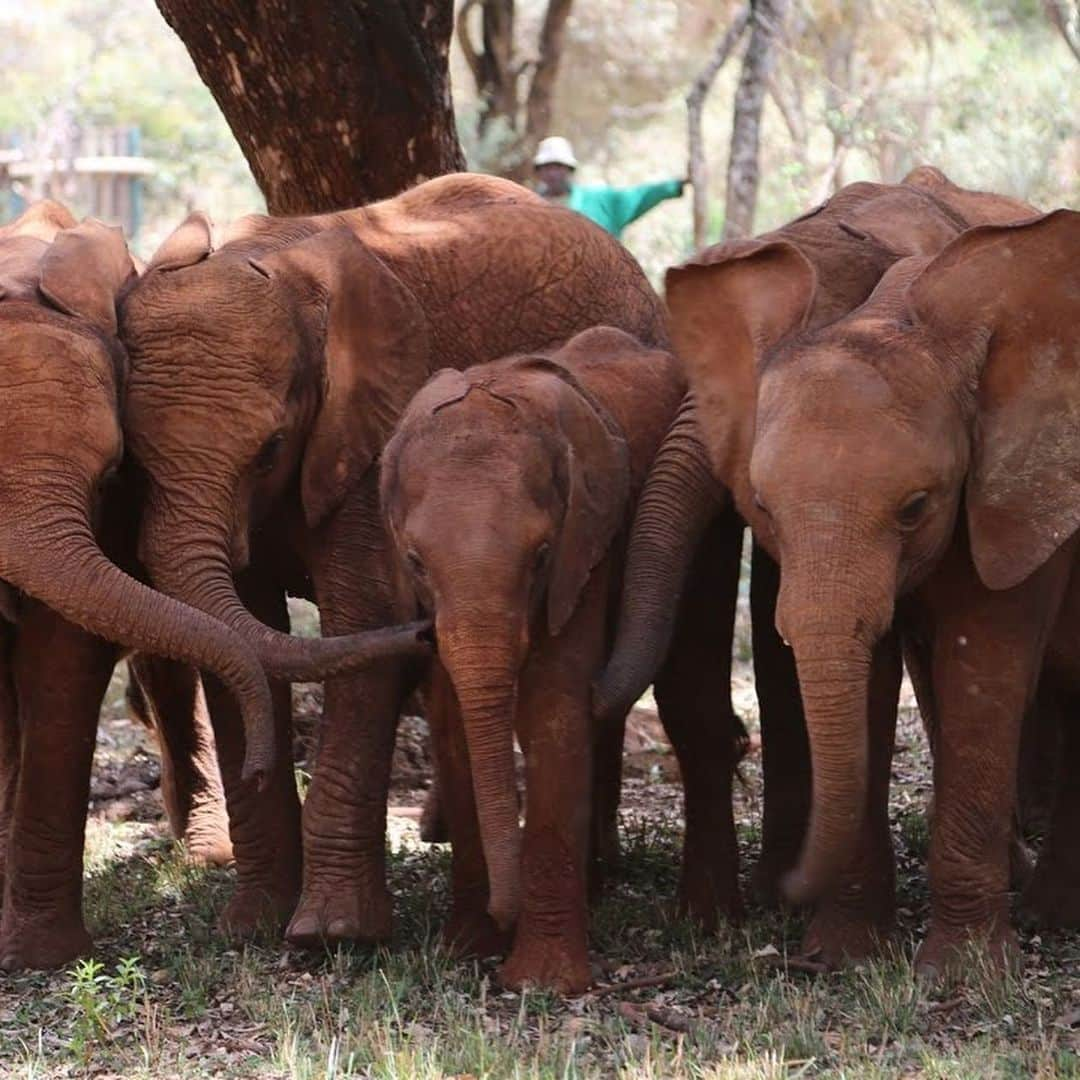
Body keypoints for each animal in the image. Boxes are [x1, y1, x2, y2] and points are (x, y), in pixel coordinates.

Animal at [118, 172, 669, 950]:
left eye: (270, 447)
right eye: (134, 459)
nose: (422, 630)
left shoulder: (372, 437)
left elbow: (360, 616)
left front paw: (331, 935)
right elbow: (238, 635)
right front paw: (250, 926)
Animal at [380, 328, 751, 993]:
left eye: (540, 556)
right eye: (416, 562)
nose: (503, 912)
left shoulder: (586, 545)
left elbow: (554, 710)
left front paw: (540, 983)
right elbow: (453, 721)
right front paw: (465, 951)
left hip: (709, 528)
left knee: (688, 692)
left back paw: (707, 921)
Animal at [682, 198, 1080, 976]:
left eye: (917, 507)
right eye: (763, 507)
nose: (783, 892)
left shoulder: (1017, 493)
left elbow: (985, 664)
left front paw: (965, 976)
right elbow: (865, 676)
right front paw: (843, 958)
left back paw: (1053, 920)